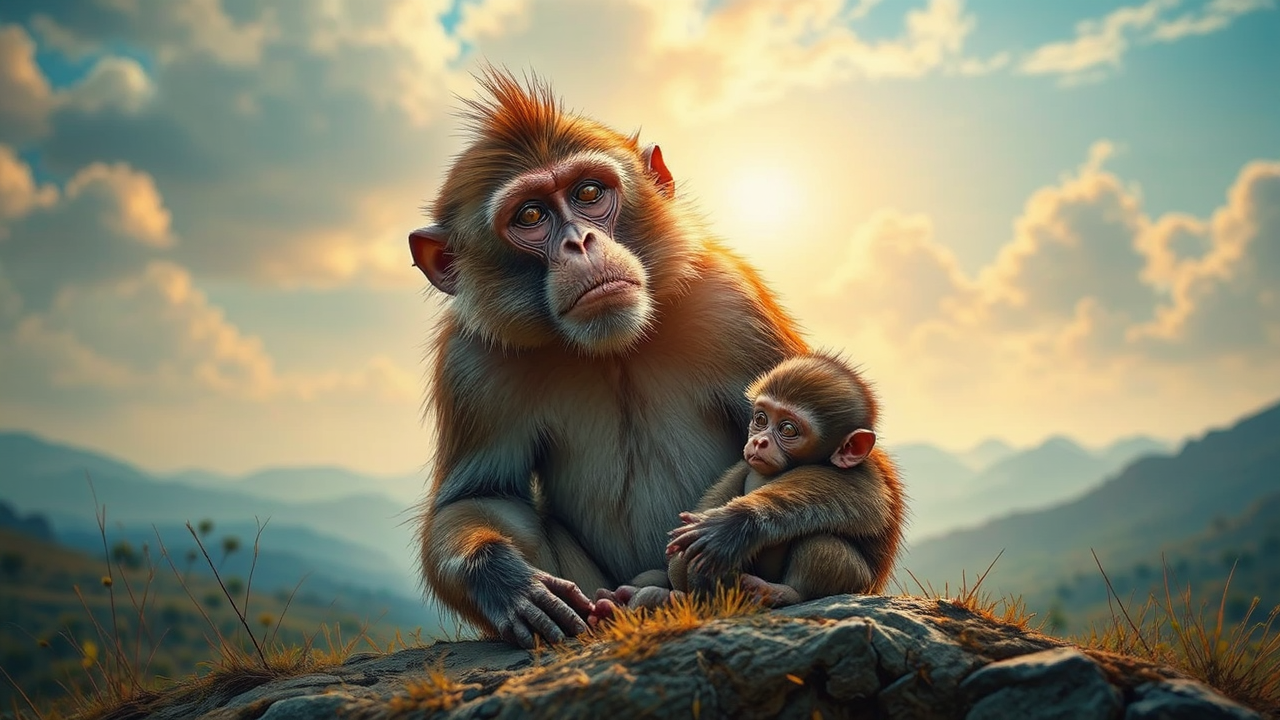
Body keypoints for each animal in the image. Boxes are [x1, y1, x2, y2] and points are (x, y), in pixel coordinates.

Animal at [409, 67, 808, 649]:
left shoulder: (731, 303)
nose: (581, 242)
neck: (612, 347)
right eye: (530, 215)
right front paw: (508, 583)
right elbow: (481, 496)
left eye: (589, 192)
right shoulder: (473, 363)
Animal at [589, 352, 906, 619]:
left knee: (821, 541)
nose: (760, 441)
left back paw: (782, 593)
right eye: (761, 419)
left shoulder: (862, 473)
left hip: (859, 582)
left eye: (788, 429)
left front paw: (731, 526)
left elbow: (860, 498)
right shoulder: (744, 465)